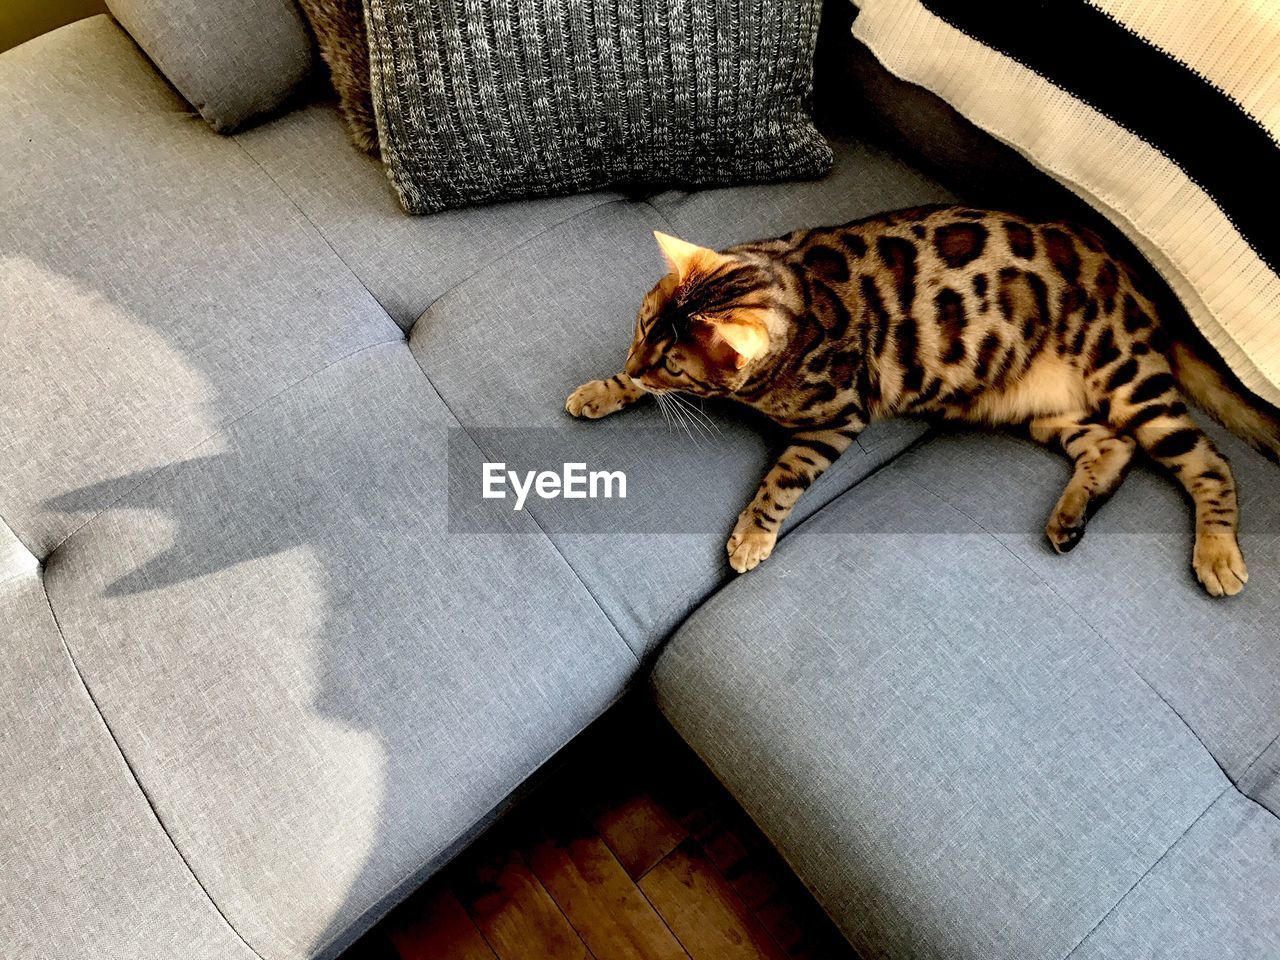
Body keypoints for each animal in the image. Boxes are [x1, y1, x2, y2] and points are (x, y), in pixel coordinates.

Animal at [570, 207, 1280, 599]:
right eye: (640, 327)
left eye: (672, 362)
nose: (637, 362)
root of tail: (1140, 282)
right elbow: (628, 388)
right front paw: (603, 388)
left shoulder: (839, 418)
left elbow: (783, 479)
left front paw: (751, 534)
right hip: (1037, 407)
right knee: (1111, 445)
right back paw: (1069, 517)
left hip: (1126, 377)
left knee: (1209, 462)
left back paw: (1218, 554)